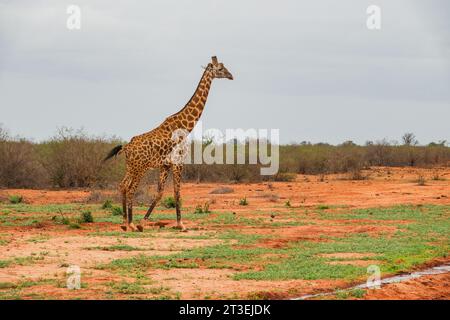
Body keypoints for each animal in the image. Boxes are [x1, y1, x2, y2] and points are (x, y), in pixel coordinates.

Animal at [104, 57, 232, 232]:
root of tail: (126, 148)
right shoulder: (178, 162)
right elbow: (177, 192)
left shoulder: (165, 165)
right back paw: (130, 224)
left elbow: (160, 192)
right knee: (130, 189)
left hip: (130, 167)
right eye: (220, 69)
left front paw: (142, 222)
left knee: (123, 186)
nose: (231, 75)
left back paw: (125, 223)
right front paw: (181, 224)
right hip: (140, 168)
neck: (185, 126)